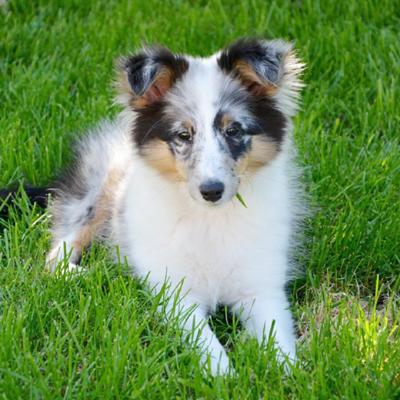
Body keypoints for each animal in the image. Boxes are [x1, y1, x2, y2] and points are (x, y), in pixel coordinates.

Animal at [21, 38, 304, 376]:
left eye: (233, 131)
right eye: (183, 135)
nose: (212, 191)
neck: (210, 220)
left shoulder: (262, 287)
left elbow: (279, 339)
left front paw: (289, 374)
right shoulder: (177, 294)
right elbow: (207, 343)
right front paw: (225, 377)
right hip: (96, 191)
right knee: (59, 250)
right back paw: (88, 274)